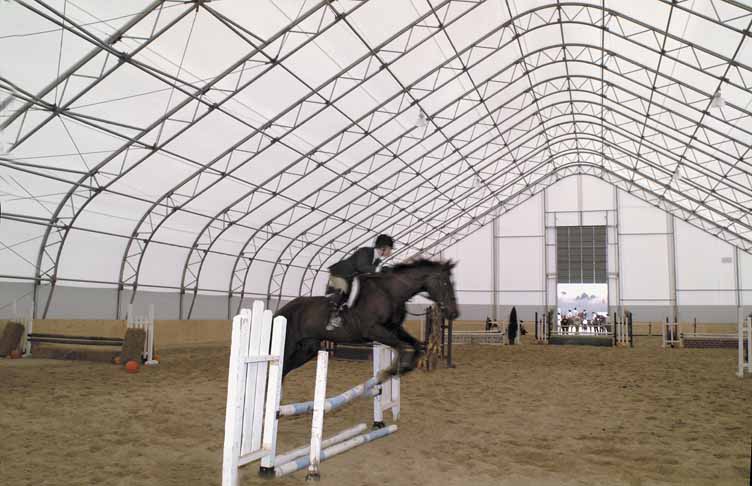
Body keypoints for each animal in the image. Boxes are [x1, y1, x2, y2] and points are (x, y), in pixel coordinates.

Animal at [274, 259, 459, 381]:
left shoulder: (394, 328)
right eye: (445, 283)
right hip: (289, 344)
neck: (390, 292)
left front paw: (405, 368)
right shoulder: (373, 330)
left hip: (308, 348)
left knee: (284, 369)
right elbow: (400, 346)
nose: (454, 313)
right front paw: (390, 371)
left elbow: (415, 345)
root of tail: (282, 310)